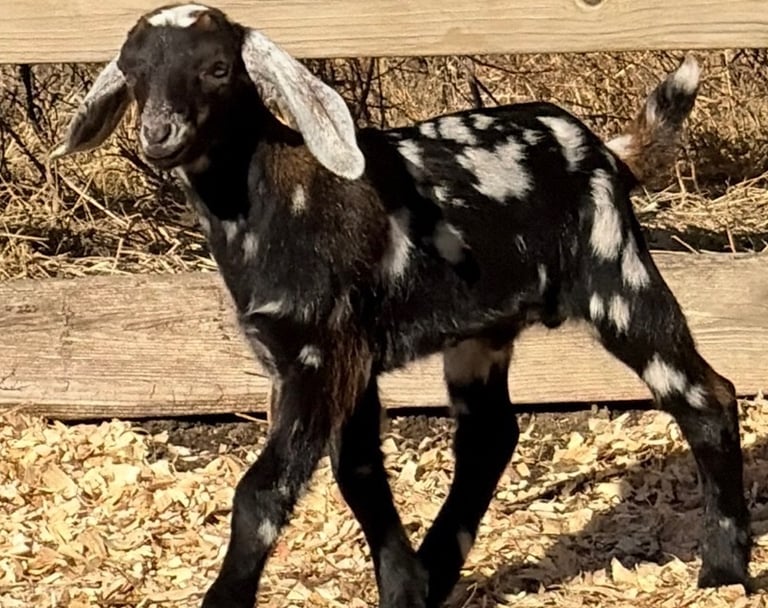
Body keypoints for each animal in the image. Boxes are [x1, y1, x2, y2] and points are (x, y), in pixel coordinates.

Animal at [52, 4, 751, 607]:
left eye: (218, 68)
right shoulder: (342, 360)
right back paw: (438, 567)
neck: (276, 201)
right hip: (481, 330)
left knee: (704, 395)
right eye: (132, 71)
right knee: (489, 435)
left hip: (616, 276)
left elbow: (262, 493)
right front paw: (404, 587)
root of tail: (604, 151)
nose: (158, 134)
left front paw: (226, 599)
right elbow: (358, 473)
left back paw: (724, 570)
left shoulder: (318, 354)